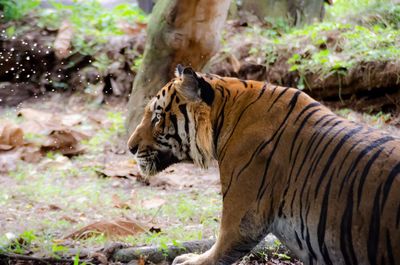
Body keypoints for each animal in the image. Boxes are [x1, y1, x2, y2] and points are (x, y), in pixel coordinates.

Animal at [128, 64, 400, 264]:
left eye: (157, 117)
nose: (130, 147)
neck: (225, 111)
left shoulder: (242, 216)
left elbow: (219, 250)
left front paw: (188, 260)